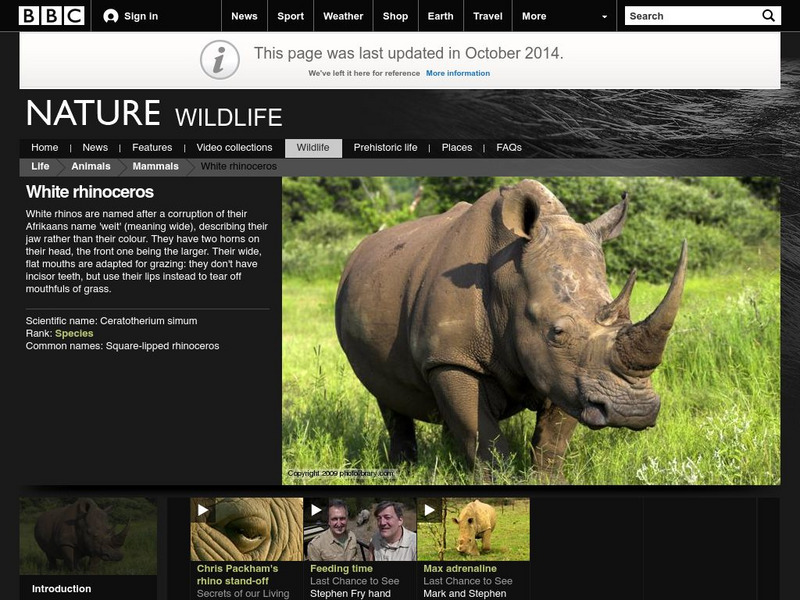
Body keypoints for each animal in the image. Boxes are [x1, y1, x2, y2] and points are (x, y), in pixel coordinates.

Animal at [335, 180, 687, 477]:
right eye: (557, 332)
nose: (633, 410)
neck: (509, 281)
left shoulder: (569, 375)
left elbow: (552, 441)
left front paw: (547, 479)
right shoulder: (453, 358)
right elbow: (485, 438)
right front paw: (496, 481)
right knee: (388, 396)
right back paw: (405, 470)